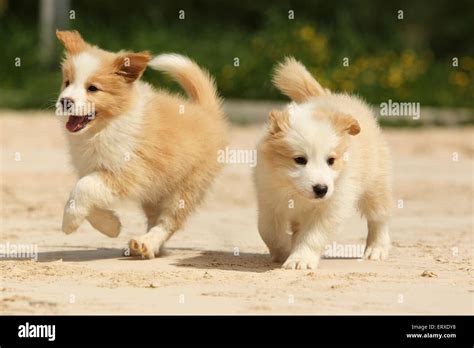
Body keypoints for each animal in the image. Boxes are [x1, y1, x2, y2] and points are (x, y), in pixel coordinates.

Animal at [54, 30, 229, 258]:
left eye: (93, 88)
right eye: (67, 82)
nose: (65, 101)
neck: (103, 128)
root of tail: (207, 112)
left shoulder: (126, 172)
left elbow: (82, 188)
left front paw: (69, 223)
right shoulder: (94, 170)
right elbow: (87, 195)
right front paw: (111, 226)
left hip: (187, 188)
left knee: (169, 221)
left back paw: (147, 242)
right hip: (155, 190)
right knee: (155, 218)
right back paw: (144, 246)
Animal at [256, 56, 392, 270]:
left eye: (331, 161)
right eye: (299, 160)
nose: (321, 189)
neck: (296, 193)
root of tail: (327, 96)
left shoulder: (331, 206)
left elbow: (312, 236)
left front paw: (300, 259)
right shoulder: (269, 200)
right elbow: (268, 231)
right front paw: (284, 251)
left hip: (375, 183)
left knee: (379, 216)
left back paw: (376, 249)